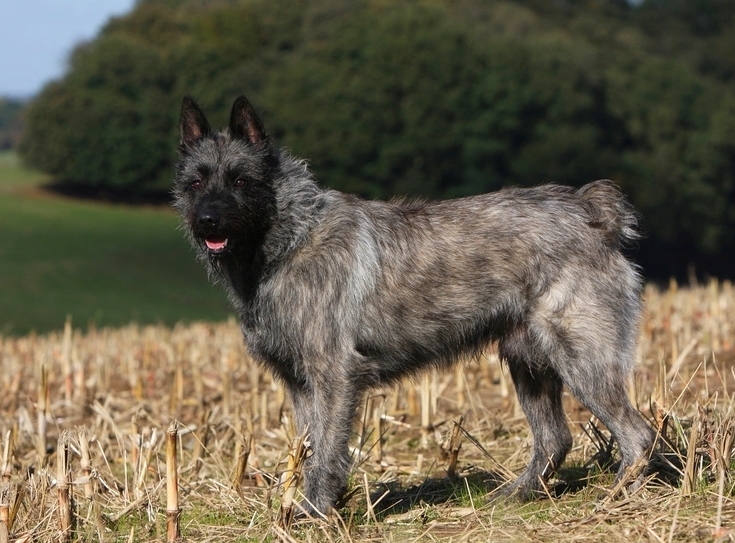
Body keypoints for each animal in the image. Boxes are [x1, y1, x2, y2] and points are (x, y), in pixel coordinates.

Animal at [172, 94, 656, 520]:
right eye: (195, 182)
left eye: (240, 179)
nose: (207, 221)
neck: (291, 237)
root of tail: (592, 212)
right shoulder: (299, 382)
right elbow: (307, 449)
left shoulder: (333, 375)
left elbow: (326, 452)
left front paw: (315, 512)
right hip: (528, 362)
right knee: (555, 439)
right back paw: (515, 495)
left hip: (582, 360)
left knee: (638, 435)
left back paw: (617, 500)